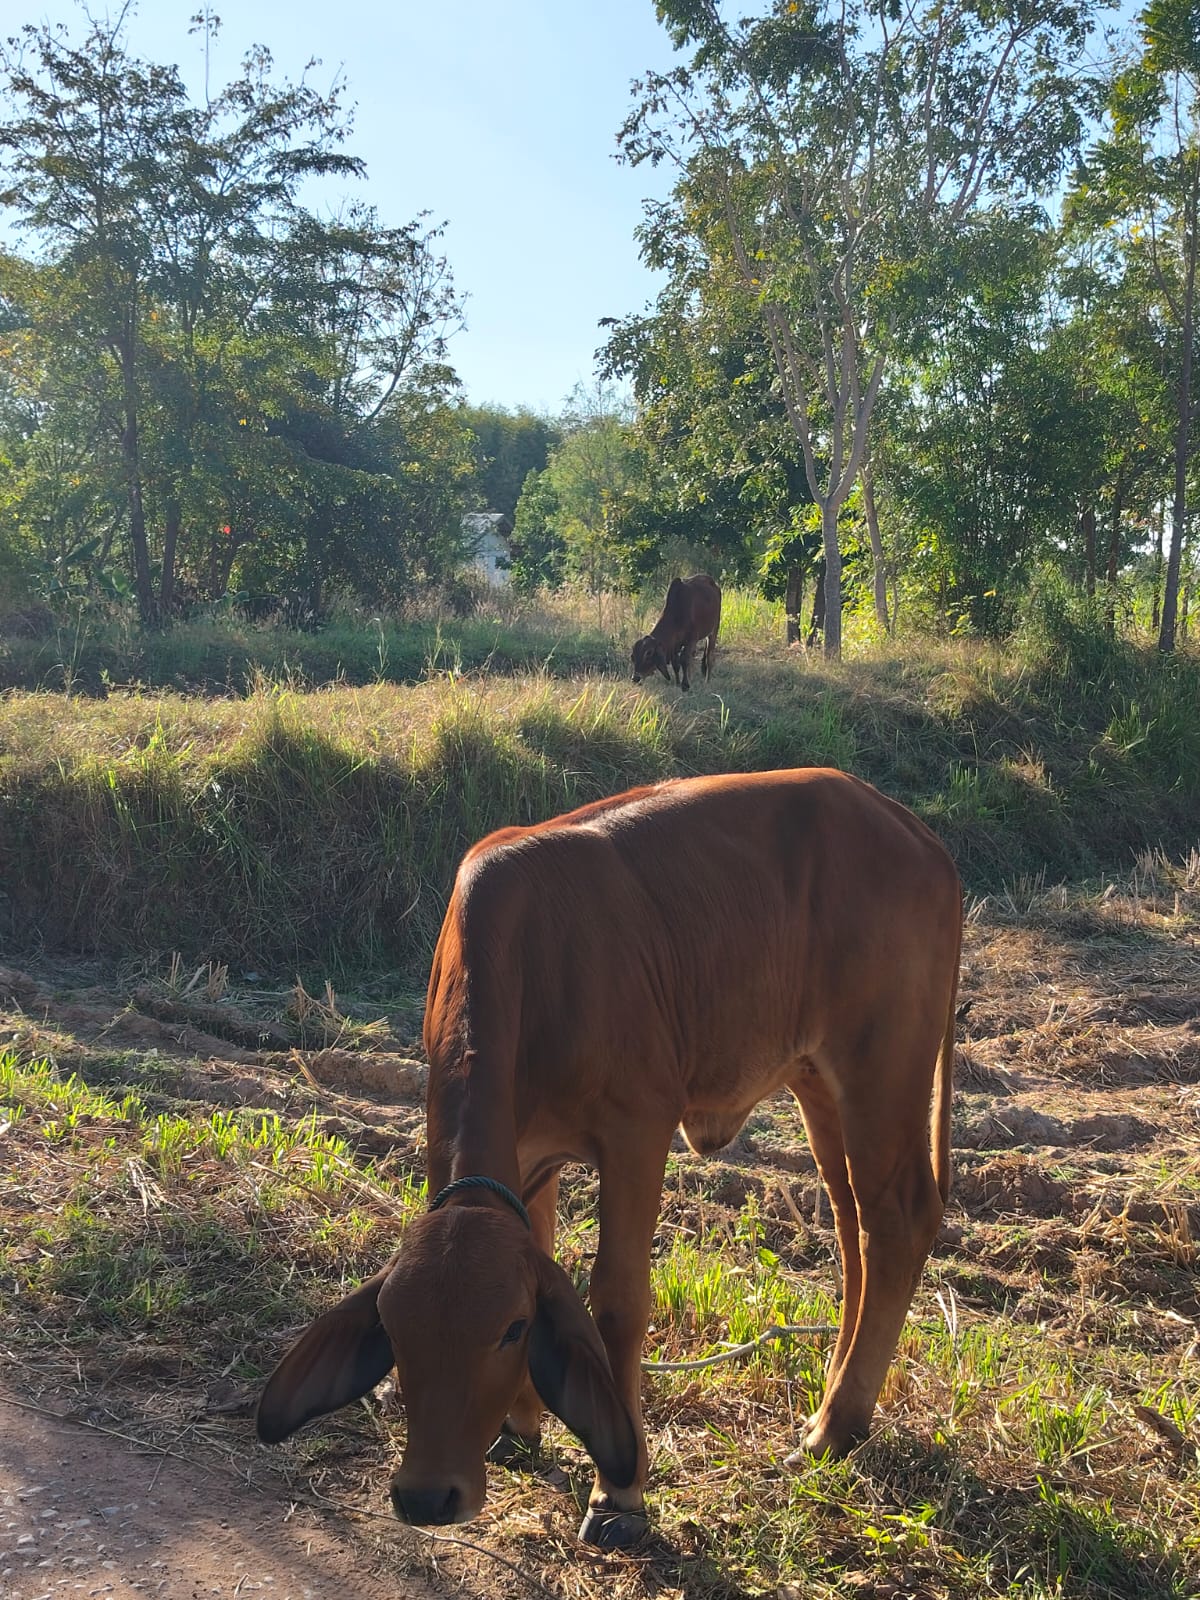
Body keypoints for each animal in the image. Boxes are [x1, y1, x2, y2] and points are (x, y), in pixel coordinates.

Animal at [256, 769, 961, 1550]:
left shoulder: (636, 1132)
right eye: (395, 1330)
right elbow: (542, 1253)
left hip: (880, 1071)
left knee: (897, 1222)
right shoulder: (530, 1162)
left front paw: (620, 1491)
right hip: (817, 1081)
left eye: (509, 1330)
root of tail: (912, 830)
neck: (528, 961)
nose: (428, 1496)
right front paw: (521, 1426)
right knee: (852, 1228)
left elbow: (617, 1302)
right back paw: (834, 1401)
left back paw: (834, 1428)